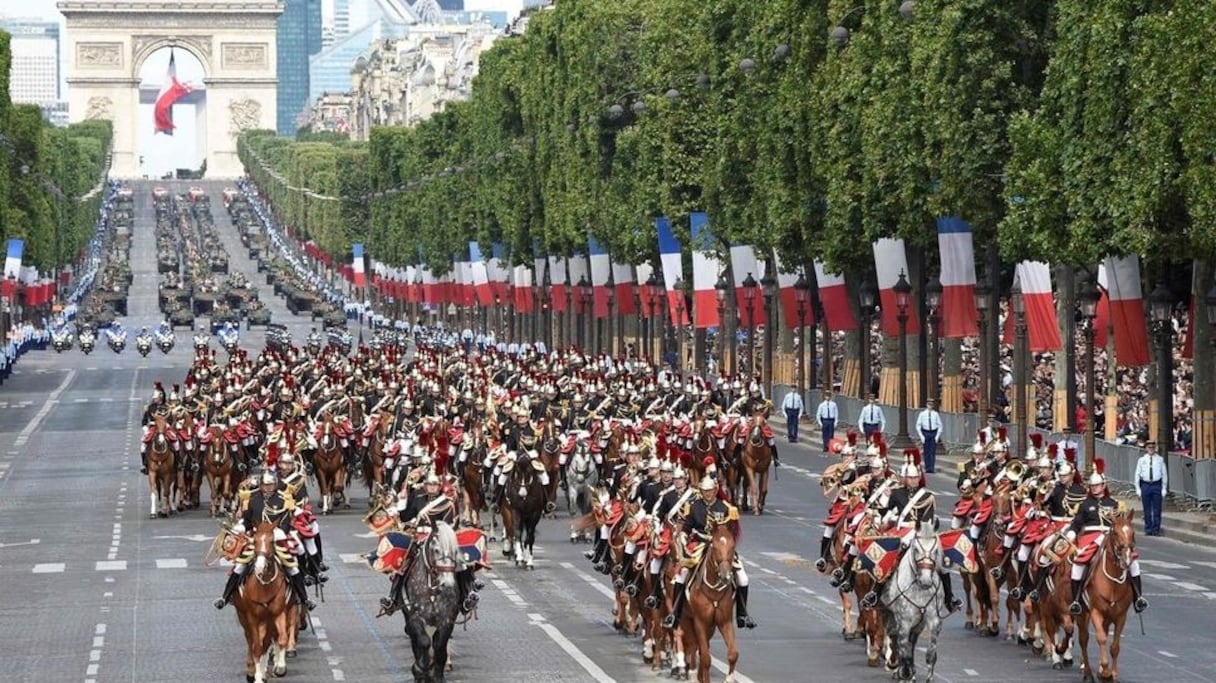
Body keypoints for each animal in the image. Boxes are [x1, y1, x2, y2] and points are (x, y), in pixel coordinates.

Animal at [232, 517, 301, 675]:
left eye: (272, 541)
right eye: (255, 540)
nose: (259, 567)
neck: (264, 584)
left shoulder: (279, 612)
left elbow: (281, 638)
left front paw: (280, 666)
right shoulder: (252, 616)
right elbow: (256, 644)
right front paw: (257, 670)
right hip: (242, 614)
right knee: (250, 638)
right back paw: (252, 666)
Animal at [398, 517, 459, 675]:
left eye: (456, 551)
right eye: (436, 550)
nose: (447, 584)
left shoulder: (447, 618)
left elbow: (440, 645)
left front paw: (437, 671)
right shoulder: (415, 616)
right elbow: (424, 642)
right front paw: (421, 670)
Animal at [676, 515, 739, 680]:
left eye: (732, 547)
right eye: (714, 547)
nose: (725, 577)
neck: (714, 591)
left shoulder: (724, 621)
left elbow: (733, 654)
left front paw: (729, 679)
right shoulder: (700, 622)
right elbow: (705, 658)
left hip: (710, 627)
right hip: (686, 619)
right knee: (693, 646)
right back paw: (690, 672)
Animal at [880, 522, 943, 675]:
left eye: (936, 550)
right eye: (916, 549)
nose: (926, 581)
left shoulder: (933, 621)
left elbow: (930, 654)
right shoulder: (904, 622)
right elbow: (904, 652)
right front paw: (905, 673)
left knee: (909, 642)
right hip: (887, 612)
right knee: (895, 638)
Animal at [1079, 507, 1133, 675]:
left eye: (1132, 532)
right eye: (1115, 532)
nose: (1126, 559)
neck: (1113, 583)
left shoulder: (1121, 616)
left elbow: (1115, 646)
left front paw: (1112, 673)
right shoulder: (1095, 611)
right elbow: (1101, 637)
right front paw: (1104, 669)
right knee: (1083, 636)